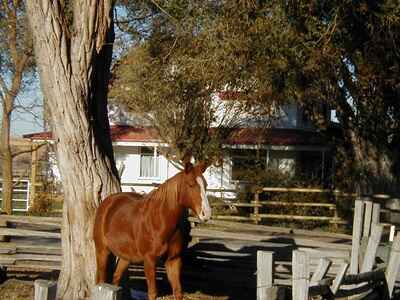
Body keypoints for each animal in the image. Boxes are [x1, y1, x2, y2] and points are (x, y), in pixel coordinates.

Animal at [94, 162, 212, 300]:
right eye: (191, 184)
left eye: (206, 185)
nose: (206, 214)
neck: (160, 221)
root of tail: (108, 202)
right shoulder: (149, 261)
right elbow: (152, 293)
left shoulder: (173, 260)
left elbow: (178, 291)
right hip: (102, 251)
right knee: (101, 280)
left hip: (126, 257)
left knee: (116, 278)